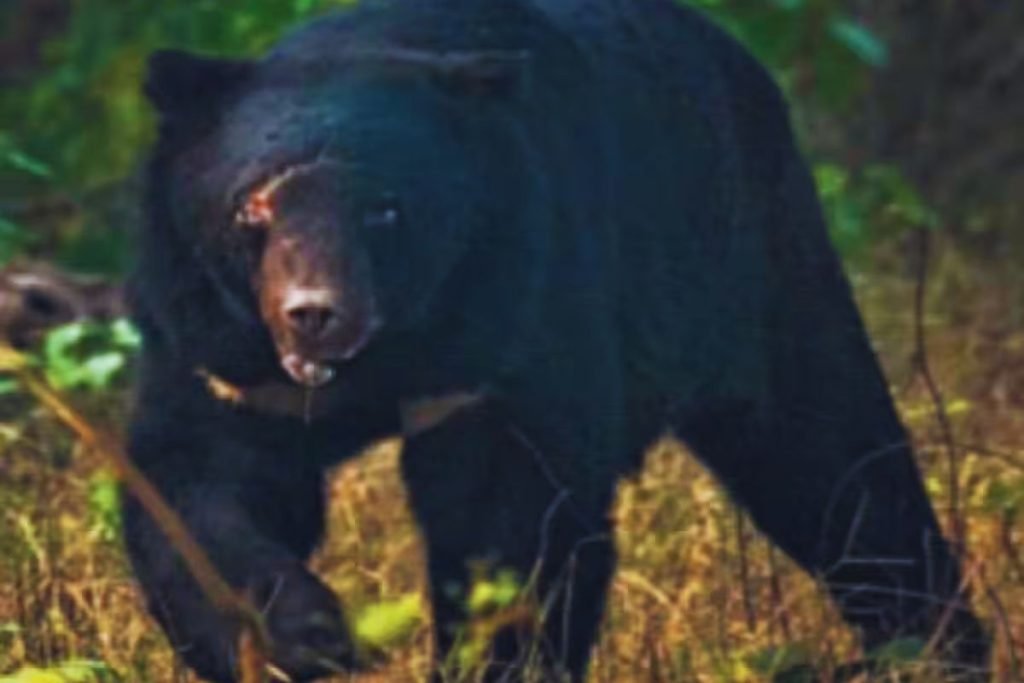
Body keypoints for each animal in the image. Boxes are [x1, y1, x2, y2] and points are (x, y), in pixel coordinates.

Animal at [122, 0, 988, 681]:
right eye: (253, 206)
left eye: (386, 209)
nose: (315, 313)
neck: (395, 352)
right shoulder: (220, 353)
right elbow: (198, 487)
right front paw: (303, 636)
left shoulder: (512, 321)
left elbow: (514, 524)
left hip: (755, 271)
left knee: (835, 465)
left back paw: (938, 649)